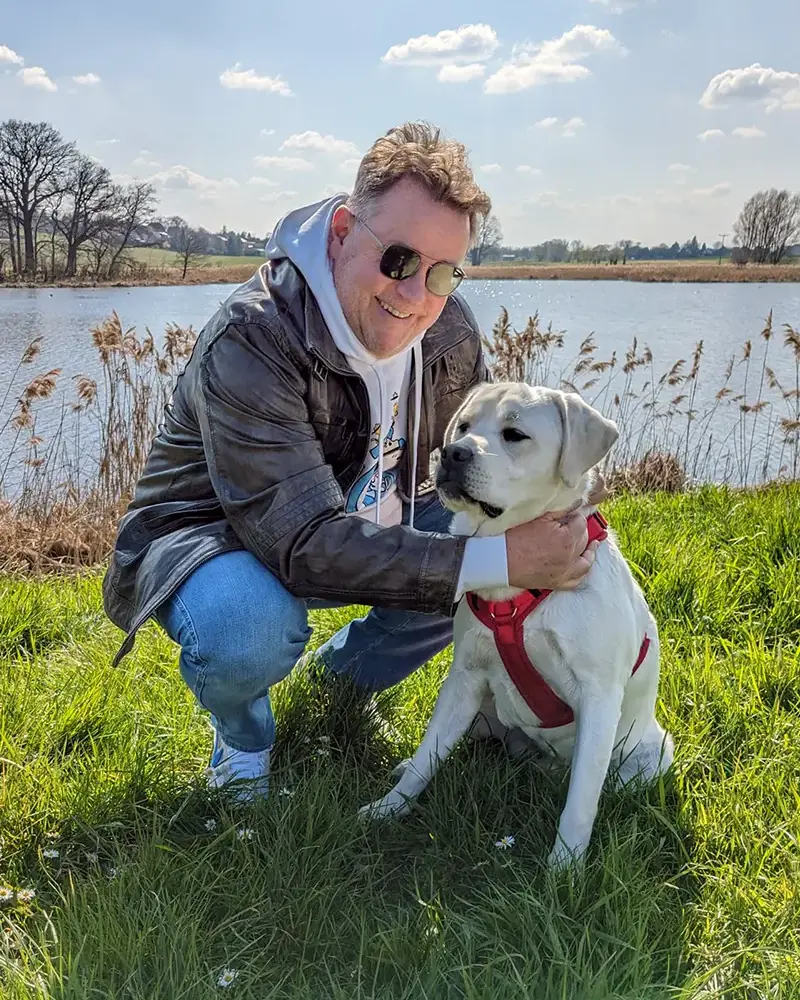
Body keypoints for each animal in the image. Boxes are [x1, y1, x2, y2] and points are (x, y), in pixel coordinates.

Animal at [360, 382, 672, 868]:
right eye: (464, 426)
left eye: (515, 434)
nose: (452, 453)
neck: (518, 592)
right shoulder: (465, 677)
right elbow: (429, 753)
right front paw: (389, 808)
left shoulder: (599, 697)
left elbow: (581, 802)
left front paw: (564, 869)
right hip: (483, 712)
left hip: (650, 753)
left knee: (604, 785)